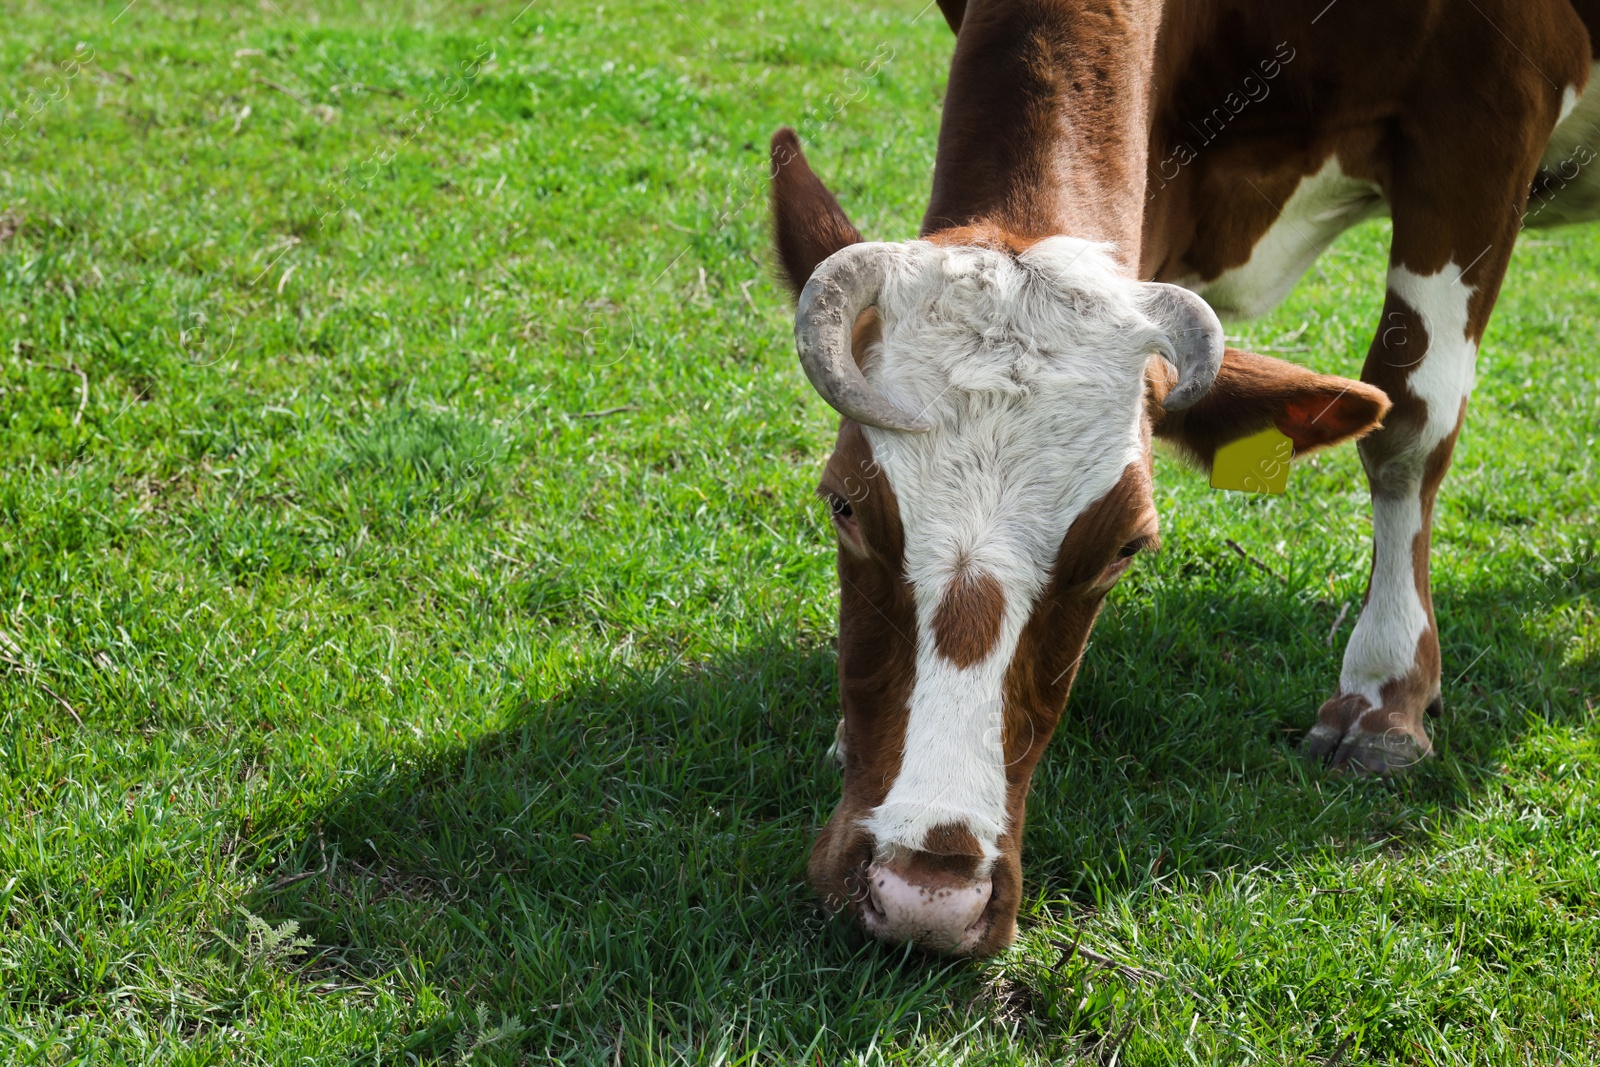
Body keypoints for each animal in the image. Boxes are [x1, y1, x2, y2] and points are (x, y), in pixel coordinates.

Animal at [768, 0, 1593, 953]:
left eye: (1127, 546)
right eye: (843, 505)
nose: (924, 896)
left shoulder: (1486, 121)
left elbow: (1410, 424)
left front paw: (1387, 693)